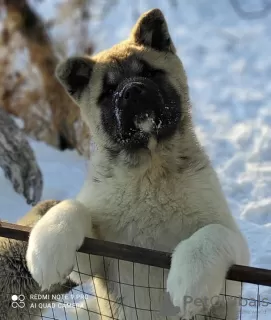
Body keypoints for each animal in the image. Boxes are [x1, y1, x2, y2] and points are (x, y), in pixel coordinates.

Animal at [25, 8, 251, 320]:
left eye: (149, 72)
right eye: (108, 91)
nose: (132, 90)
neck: (149, 173)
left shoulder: (235, 272)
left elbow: (213, 233)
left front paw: (189, 278)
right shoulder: (96, 259)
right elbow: (71, 206)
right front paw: (46, 252)